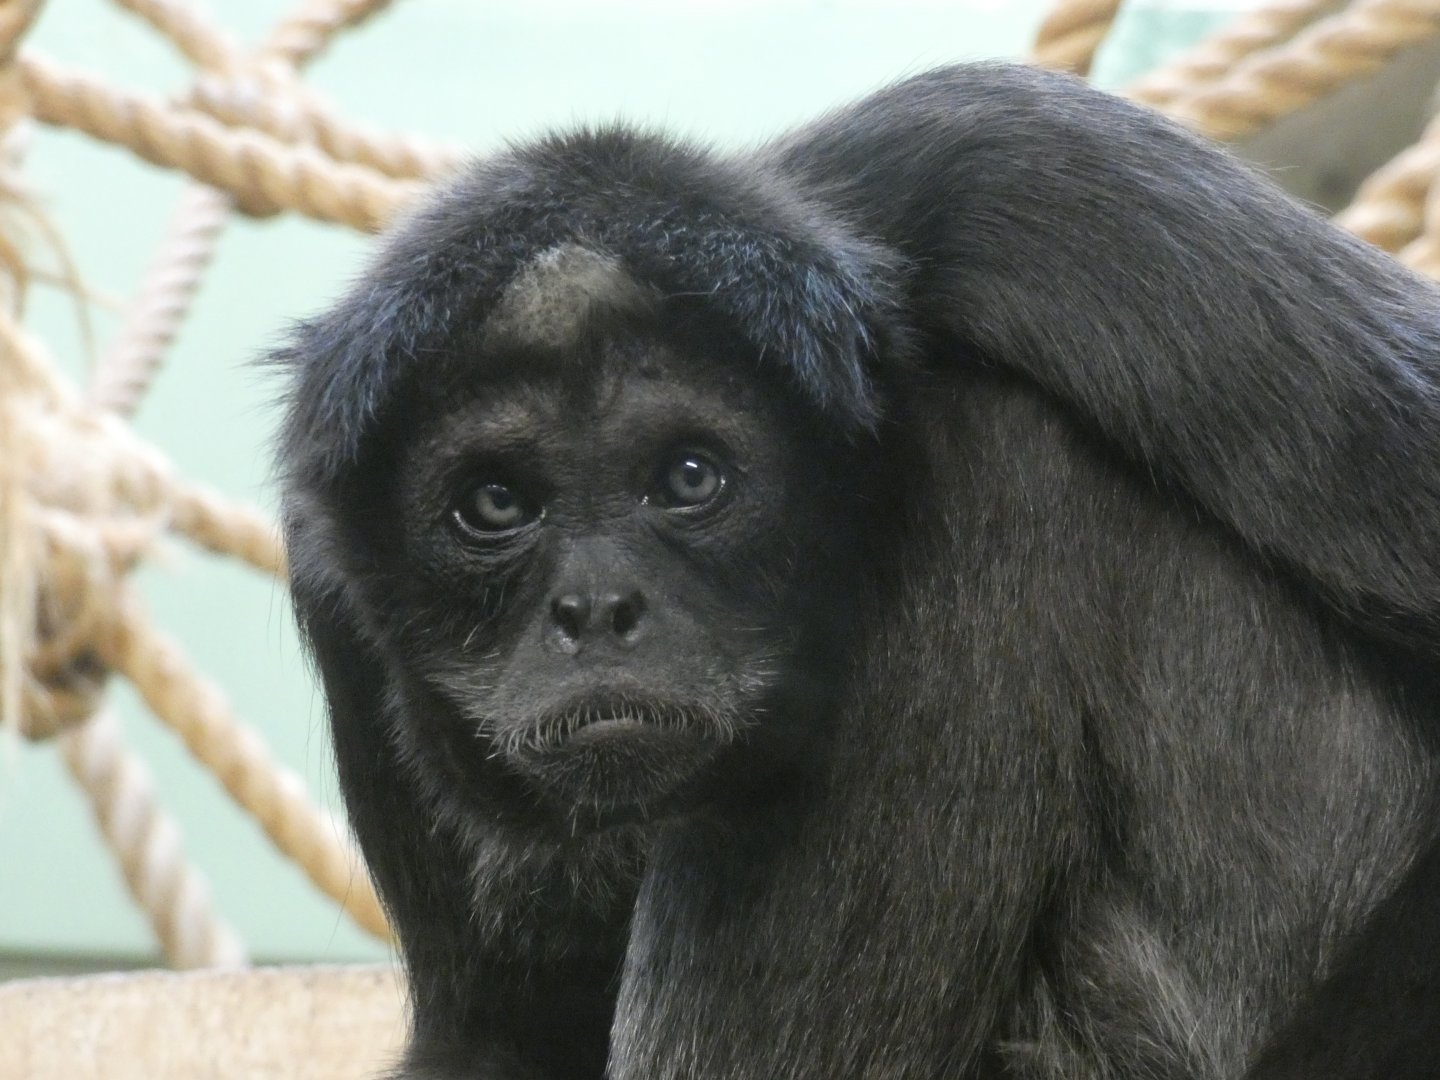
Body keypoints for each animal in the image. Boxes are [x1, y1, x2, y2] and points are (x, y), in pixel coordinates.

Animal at [274, 62, 1440, 1078]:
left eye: (687, 477)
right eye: (495, 505)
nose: (596, 607)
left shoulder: (1025, 168)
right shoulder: (324, 562)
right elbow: (495, 1042)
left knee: (995, 465)